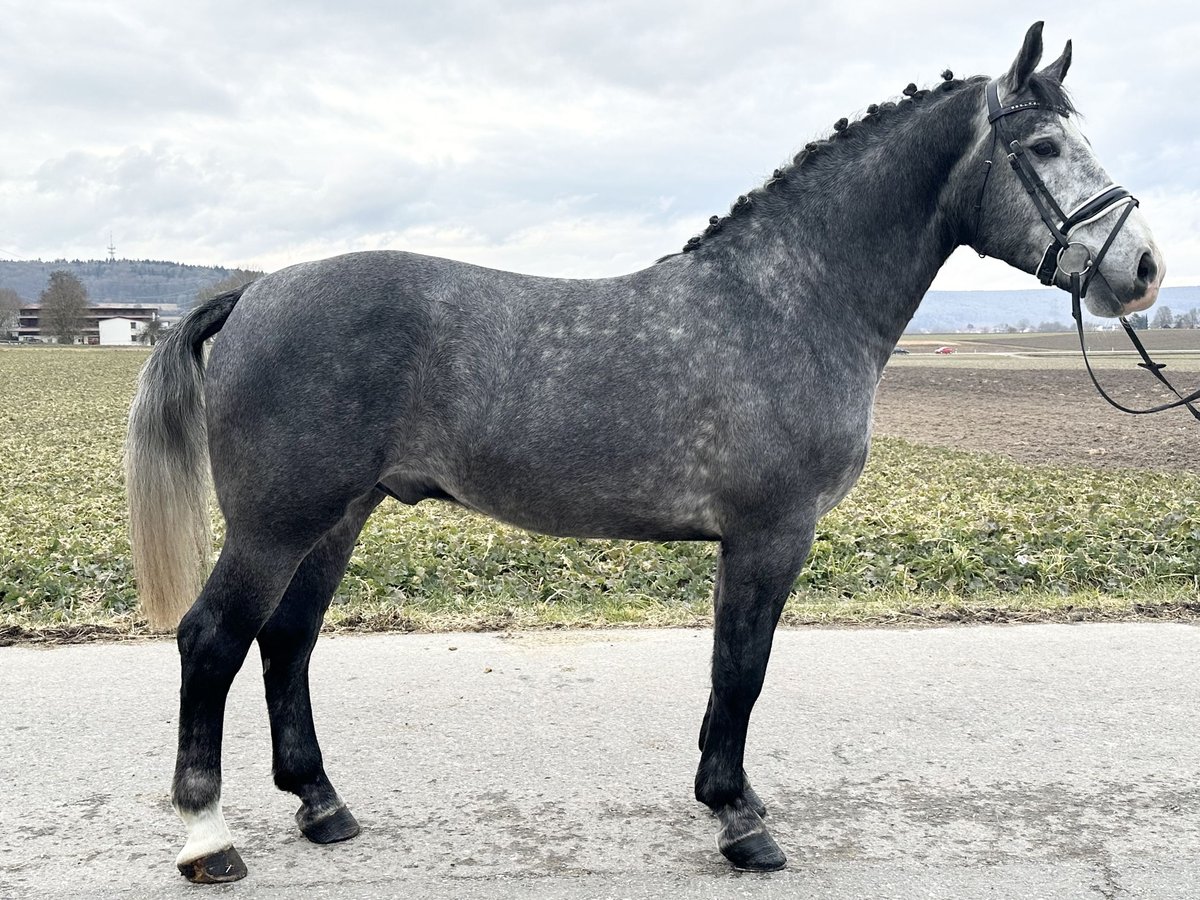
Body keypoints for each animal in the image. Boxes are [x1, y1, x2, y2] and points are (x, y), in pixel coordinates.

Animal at [129, 24, 1161, 883]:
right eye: (1043, 148)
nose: (1145, 269)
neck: (788, 301)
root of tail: (256, 292)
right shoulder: (771, 536)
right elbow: (743, 670)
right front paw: (741, 823)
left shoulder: (748, 544)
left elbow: (727, 673)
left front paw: (729, 800)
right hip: (277, 524)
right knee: (213, 639)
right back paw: (209, 839)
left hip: (337, 517)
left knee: (287, 642)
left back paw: (322, 806)